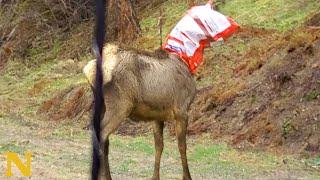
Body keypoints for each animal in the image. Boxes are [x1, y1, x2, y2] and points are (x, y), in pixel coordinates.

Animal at [84, 43, 196, 179]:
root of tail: (89, 70)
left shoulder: (157, 116)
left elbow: (159, 146)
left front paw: (155, 177)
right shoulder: (182, 111)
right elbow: (182, 147)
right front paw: (187, 177)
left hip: (102, 107)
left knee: (103, 139)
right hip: (120, 106)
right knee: (102, 135)